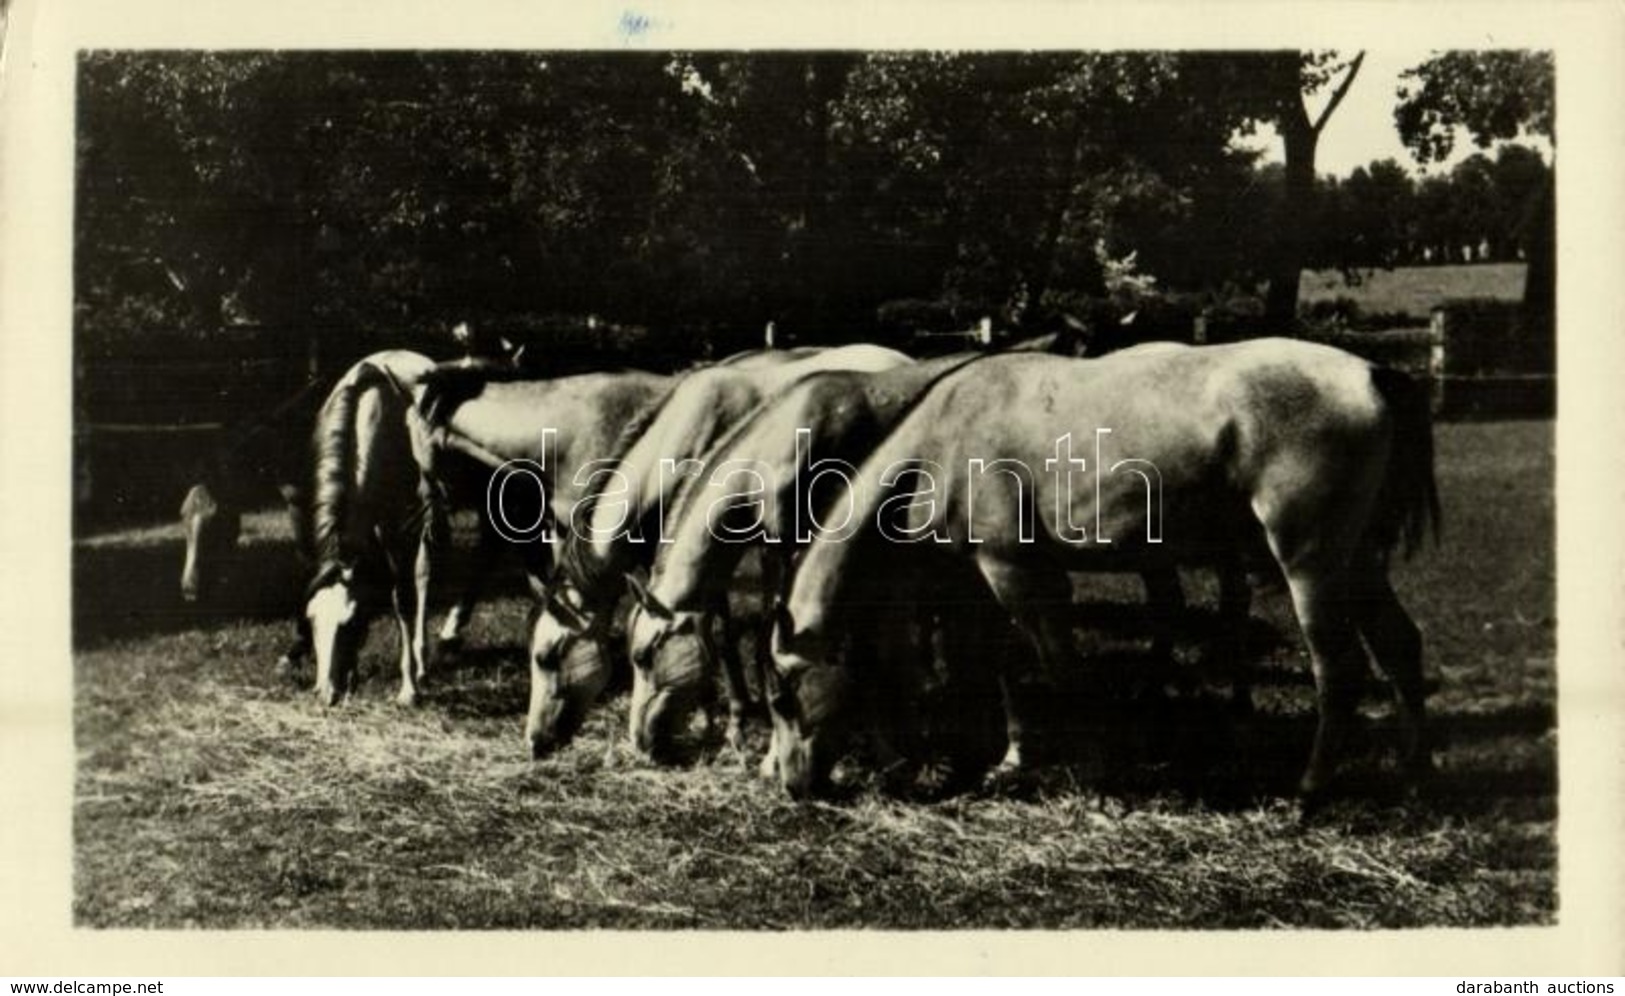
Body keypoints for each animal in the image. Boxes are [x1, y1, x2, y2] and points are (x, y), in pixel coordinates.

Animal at [767, 339, 1443, 799]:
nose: (792, 787)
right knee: (1401, 648)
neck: (947, 437)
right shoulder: (983, 581)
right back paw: (1415, 778)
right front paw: (1008, 759)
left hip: (1311, 563)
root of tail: (1370, 374)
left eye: (784, 698)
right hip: (1358, 564)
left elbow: (1060, 672)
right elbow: (1001, 668)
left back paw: (1310, 791)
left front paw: (1094, 769)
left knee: (1342, 670)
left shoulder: (1019, 574)